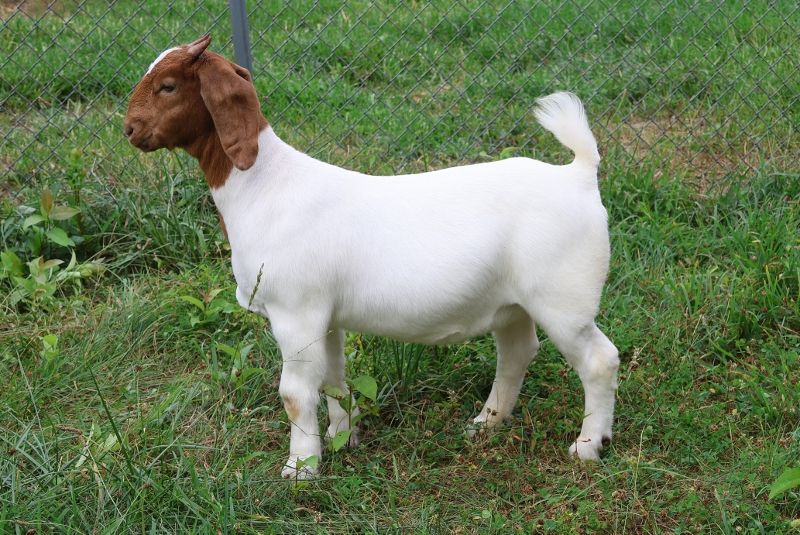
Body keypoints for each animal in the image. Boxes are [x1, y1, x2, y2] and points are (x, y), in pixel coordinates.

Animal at [124, 35, 619, 479]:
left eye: (168, 85)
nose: (129, 129)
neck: (265, 187)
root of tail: (578, 174)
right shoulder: (325, 317)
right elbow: (332, 380)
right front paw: (342, 438)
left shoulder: (295, 313)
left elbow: (295, 394)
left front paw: (300, 469)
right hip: (512, 302)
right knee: (517, 352)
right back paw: (486, 425)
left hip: (563, 299)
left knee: (599, 360)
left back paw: (587, 446)